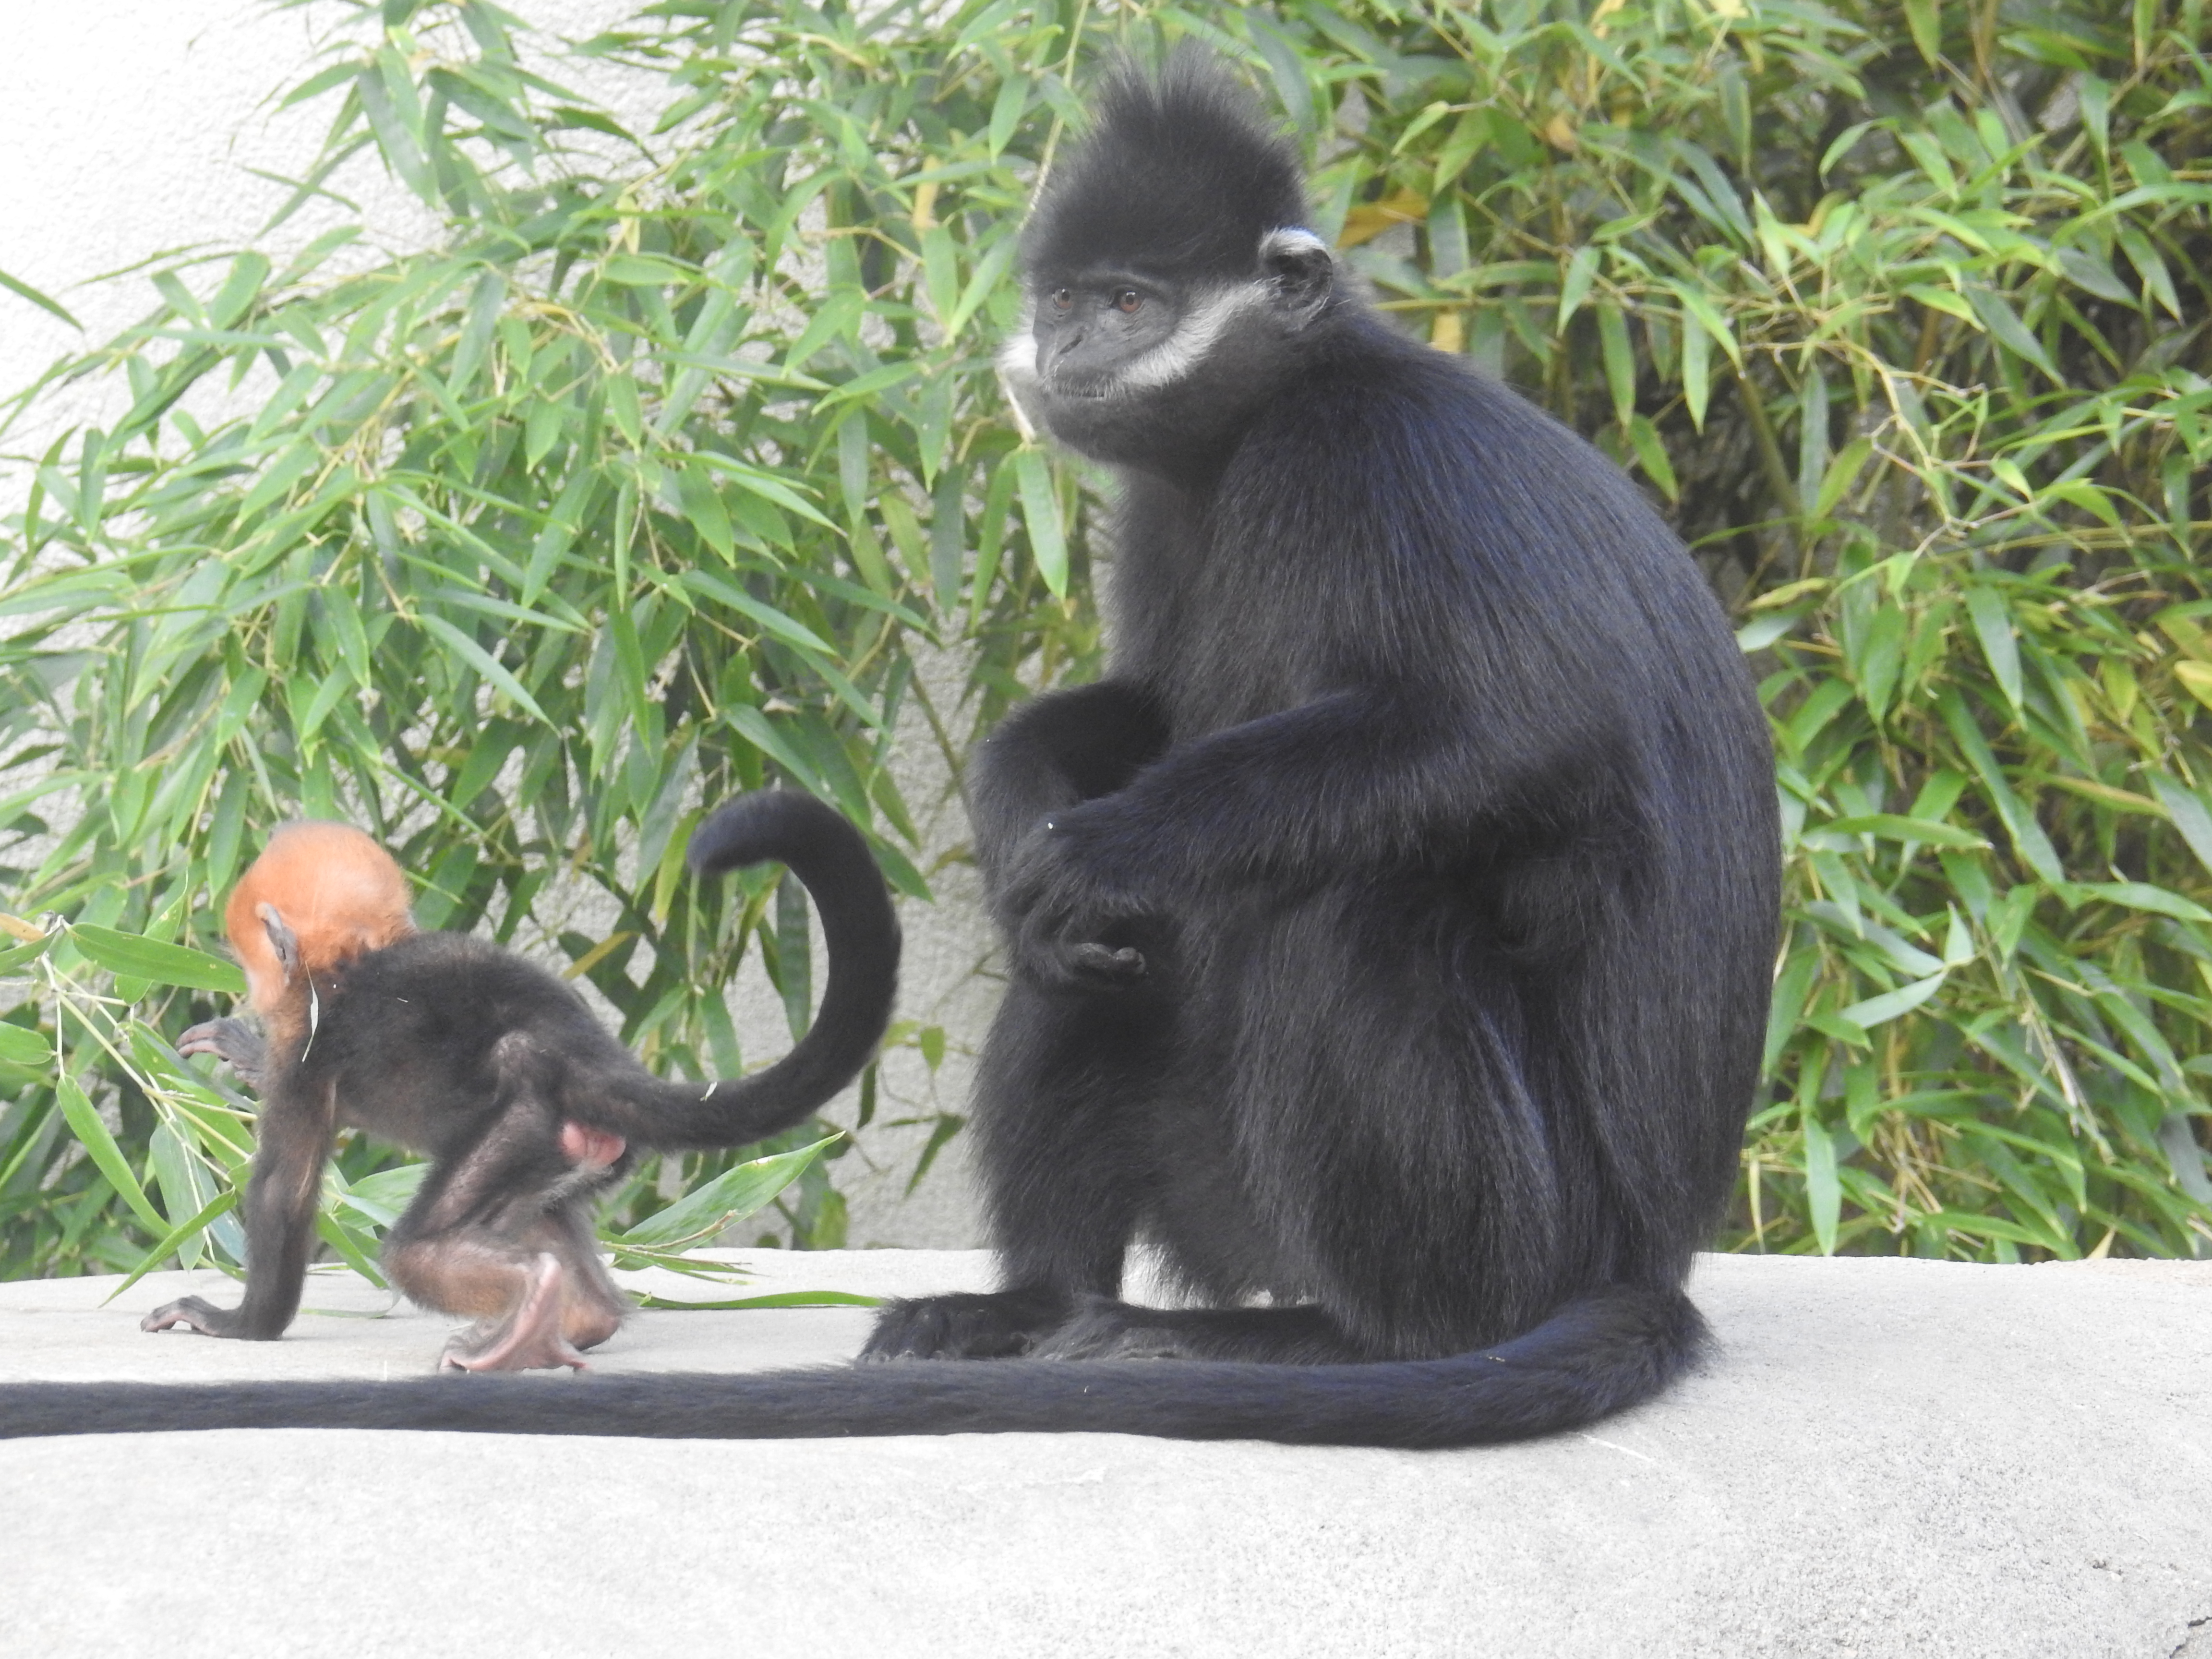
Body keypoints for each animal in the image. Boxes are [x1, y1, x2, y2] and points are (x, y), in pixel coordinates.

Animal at [147, 792, 898, 1380]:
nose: (254, 990)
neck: (352, 960)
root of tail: (588, 1057)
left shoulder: (305, 1044)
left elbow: (286, 1186)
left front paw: (242, 1321)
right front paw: (240, 1049)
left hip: (523, 1122)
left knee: (419, 1249)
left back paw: (532, 1299)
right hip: (582, 1151)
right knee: (542, 1216)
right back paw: (575, 1319)